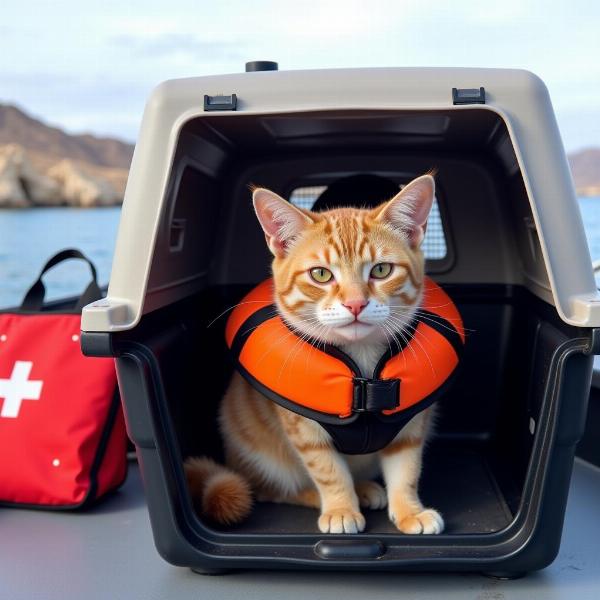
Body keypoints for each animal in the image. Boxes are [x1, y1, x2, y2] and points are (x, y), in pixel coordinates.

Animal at [185, 173, 442, 536]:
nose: (355, 304)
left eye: (381, 270)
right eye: (321, 274)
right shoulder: (304, 432)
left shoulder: (411, 424)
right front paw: (340, 508)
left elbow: (406, 469)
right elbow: (329, 472)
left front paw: (409, 511)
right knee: (271, 489)